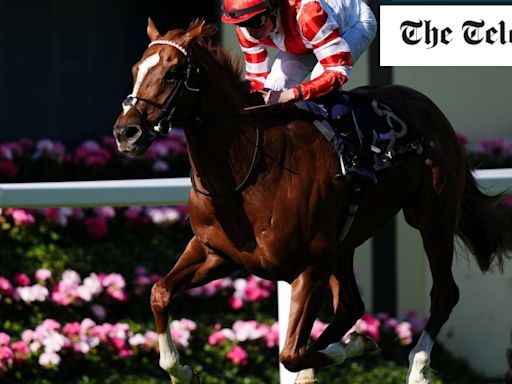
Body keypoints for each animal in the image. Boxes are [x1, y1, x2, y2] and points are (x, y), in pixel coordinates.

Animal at [114, 19, 510, 384]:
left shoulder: (310, 265)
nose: (125, 132)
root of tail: (427, 106)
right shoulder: (215, 253)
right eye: (135, 70)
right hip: (345, 242)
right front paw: (181, 370)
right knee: (350, 306)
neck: (247, 172)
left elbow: (291, 353)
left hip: (432, 216)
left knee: (443, 294)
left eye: (172, 73)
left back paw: (418, 366)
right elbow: (159, 292)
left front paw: (351, 347)